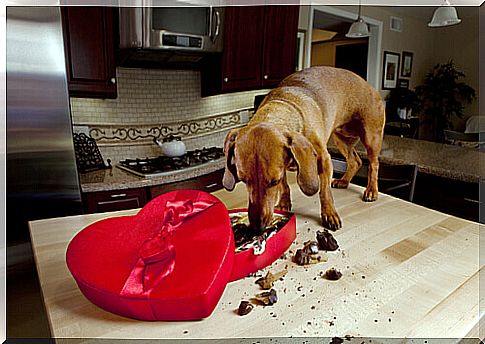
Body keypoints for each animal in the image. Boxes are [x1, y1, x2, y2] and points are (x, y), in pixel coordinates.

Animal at [223, 65, 386, 231]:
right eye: (243, 180)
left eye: (274, 182)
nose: (257, 227)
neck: (283, 105)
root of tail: (370, 87)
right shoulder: (283, 166)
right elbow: (285, 186)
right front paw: (284, 203)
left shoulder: (324, 159)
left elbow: (324, 191)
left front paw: (329, 214)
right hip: (341, 138)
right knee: (355, 161)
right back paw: (344, 181)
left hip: (371, 137)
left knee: (373, 164)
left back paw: (371, 190)